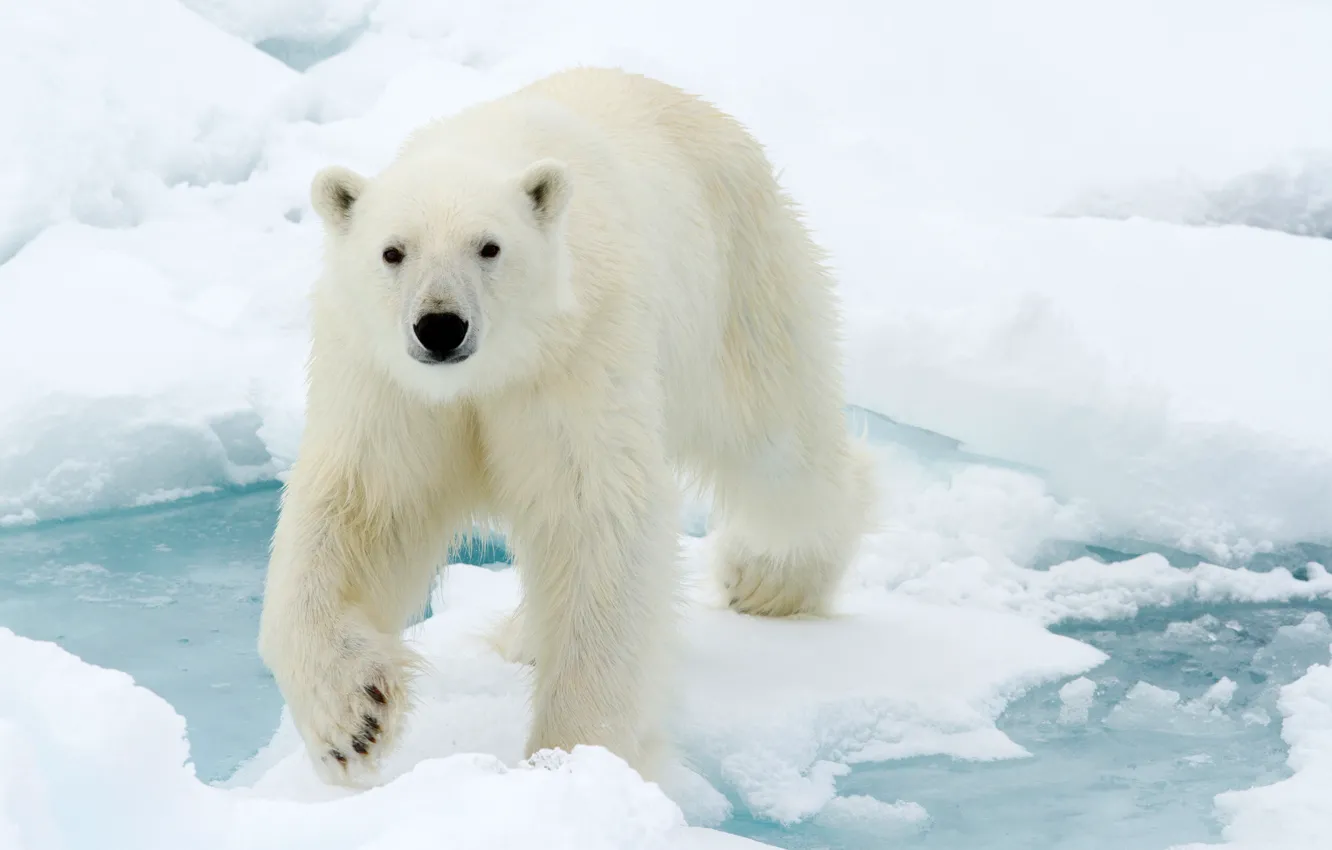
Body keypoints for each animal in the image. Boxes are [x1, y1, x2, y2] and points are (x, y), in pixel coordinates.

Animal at [257, 66, 876, 787]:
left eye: (490, 247)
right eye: (392, 251)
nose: (440, 326)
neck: (490, 373)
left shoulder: (577, 355)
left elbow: (594, 520)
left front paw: (573, 756)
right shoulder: (390, 387)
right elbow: (360, 509)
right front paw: (353, 718)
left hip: (739, 286)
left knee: (778, 451)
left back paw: (768, 578)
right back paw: (526, 635)